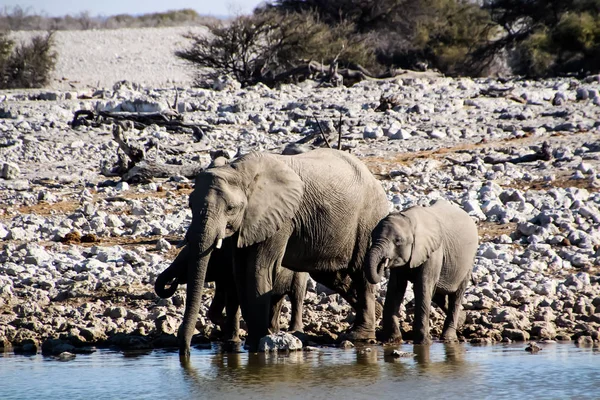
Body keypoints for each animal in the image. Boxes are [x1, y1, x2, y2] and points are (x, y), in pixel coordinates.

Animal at [178, 147, 390, 356]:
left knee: (362, 274)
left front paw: (256, 345)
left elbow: (257, 270)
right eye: (190, 204)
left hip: (368, 220)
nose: (185, 352)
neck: (239, 170)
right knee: (333, 277)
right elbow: (239, 273)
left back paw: (358, 336)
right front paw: (253, 343)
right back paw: (376, 315)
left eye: (231, 208)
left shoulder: (280, 218)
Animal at [366, 200, 478, 344]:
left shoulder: (434, 252)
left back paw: (449, 338)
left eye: (398, 241)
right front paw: (393, 340)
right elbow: (395, 288)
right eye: (372, 236)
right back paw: (462, 320)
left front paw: (423, 342)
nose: (383, 262)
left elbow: (422, 286)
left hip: (468, 263)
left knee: (455, 296)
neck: (410, 220)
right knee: (438, 295)